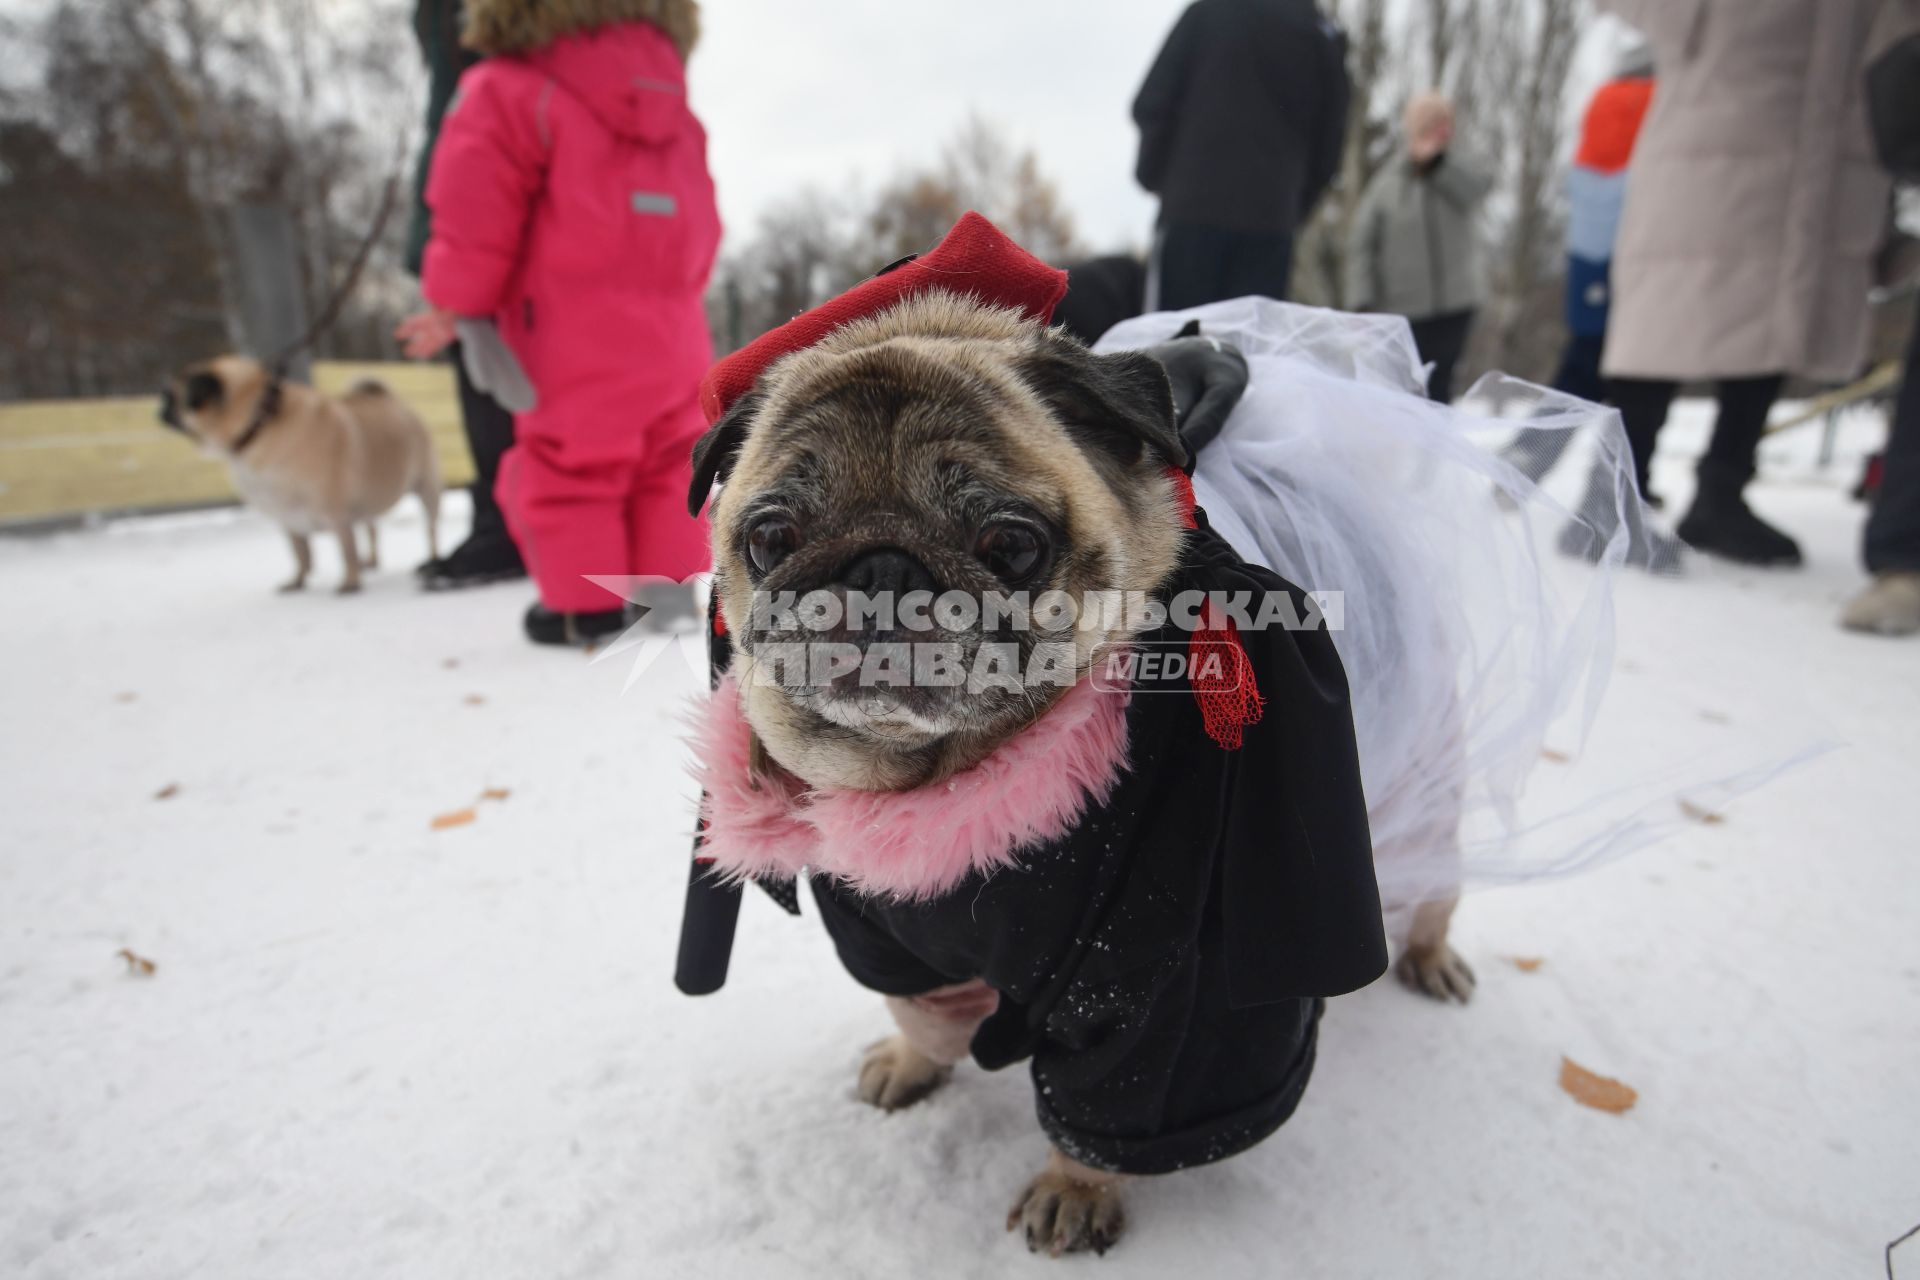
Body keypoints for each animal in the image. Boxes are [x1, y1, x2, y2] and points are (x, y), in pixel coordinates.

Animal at [160, 355, 441, 594]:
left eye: (171, 396)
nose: (159, 408)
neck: (258, 424)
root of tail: (385, 397)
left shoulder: (337, 514)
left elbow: (345, 550)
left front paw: (350, 583)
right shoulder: (288, 517)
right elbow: (300, 553)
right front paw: (297, 581)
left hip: (426, 489)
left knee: (430, 529)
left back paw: (433, 559)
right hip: (368, 501)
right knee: (371, 528)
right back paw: (370, 561)